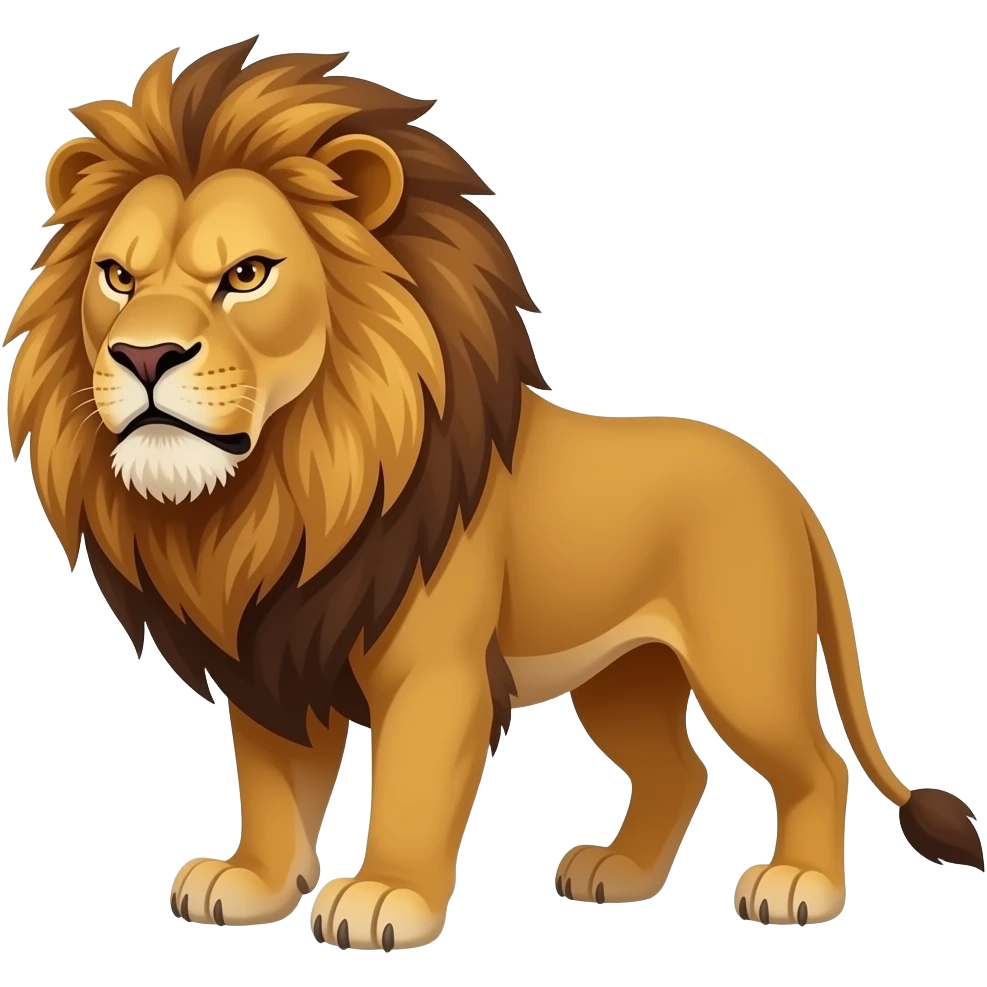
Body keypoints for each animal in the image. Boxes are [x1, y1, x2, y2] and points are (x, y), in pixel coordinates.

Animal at [5, 38, 982, 950]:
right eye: (117, 277)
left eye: (247, 274)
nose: (143, 354)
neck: (288, 486)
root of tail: (787, 486)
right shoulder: (275, 649)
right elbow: (275, 783)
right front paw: (251, 884)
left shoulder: (434, 669)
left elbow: (410, 784)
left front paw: (384, 896)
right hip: (624, 676)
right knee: (679, 770)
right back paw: (619, 873)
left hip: (744, 664)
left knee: (816, 764)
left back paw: (798, 886)